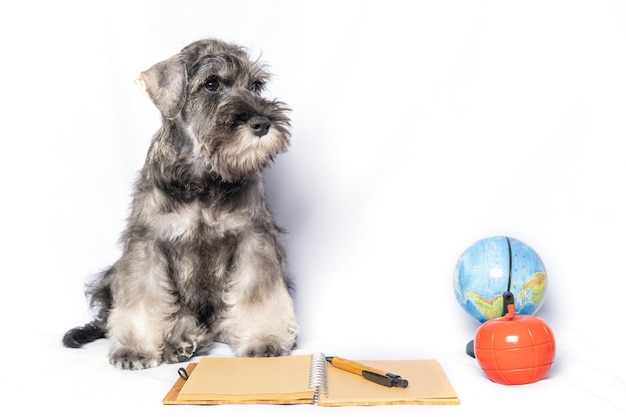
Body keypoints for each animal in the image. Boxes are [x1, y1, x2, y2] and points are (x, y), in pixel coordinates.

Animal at [63, 39, 298, 368]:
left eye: (255, 85)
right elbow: (142, 297)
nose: (262, 123)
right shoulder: (146, 244)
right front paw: (134, 348)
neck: (203, 178)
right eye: (211, 84)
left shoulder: (254, 239)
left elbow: (257, 292)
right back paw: (181, 339)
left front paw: (264, 339)